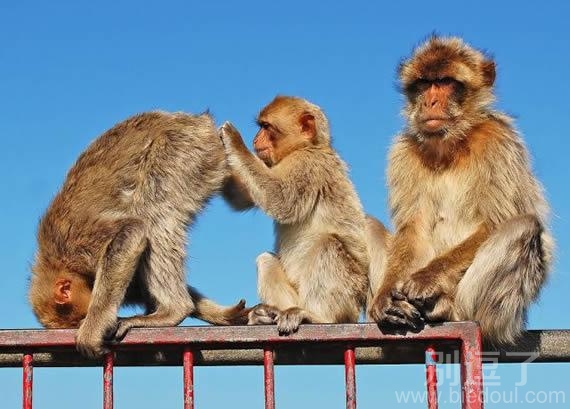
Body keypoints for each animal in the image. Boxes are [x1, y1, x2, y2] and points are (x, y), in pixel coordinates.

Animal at [27, 111, 247, 356]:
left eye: (79, 320)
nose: (84, 321)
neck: (54, 260)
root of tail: (198, 120)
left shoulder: (76, 242)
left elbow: (132, 231)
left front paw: (93, 328)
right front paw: (220, 314)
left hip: (182, 150)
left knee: (152, 215)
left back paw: (174, 310)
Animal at [217, 97, 368, 334]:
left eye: (266, 127)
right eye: (260, 127)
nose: (255, 139)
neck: (309, 146)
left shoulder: (307, 163)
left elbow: (281, 200)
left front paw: (233, 140)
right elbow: (240, 196)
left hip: (350, 295)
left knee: (327, 245)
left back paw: (318, 318)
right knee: (266, 259)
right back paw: (269, 315)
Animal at [366, 36, 552, 344]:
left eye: (446, 82)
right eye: (424, 83)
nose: (430, 101)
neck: (449, 147)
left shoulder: (497, 141)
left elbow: (496, 221)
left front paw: (426, 278)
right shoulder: (403, 152)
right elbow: (413, 230)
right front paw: (385, 298)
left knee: (522, 226)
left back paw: (446, 307)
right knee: (366, 224)